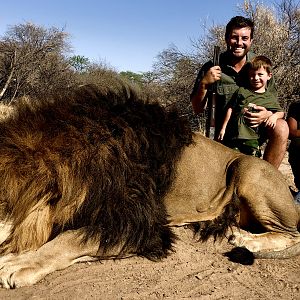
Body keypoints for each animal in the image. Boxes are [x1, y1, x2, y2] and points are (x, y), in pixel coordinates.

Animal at [0, 84, 298, 288]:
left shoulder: (140, 225)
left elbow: (70, 239)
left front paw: (17, 263)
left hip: (248, 169)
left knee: (291, 234)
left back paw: (246, 239)